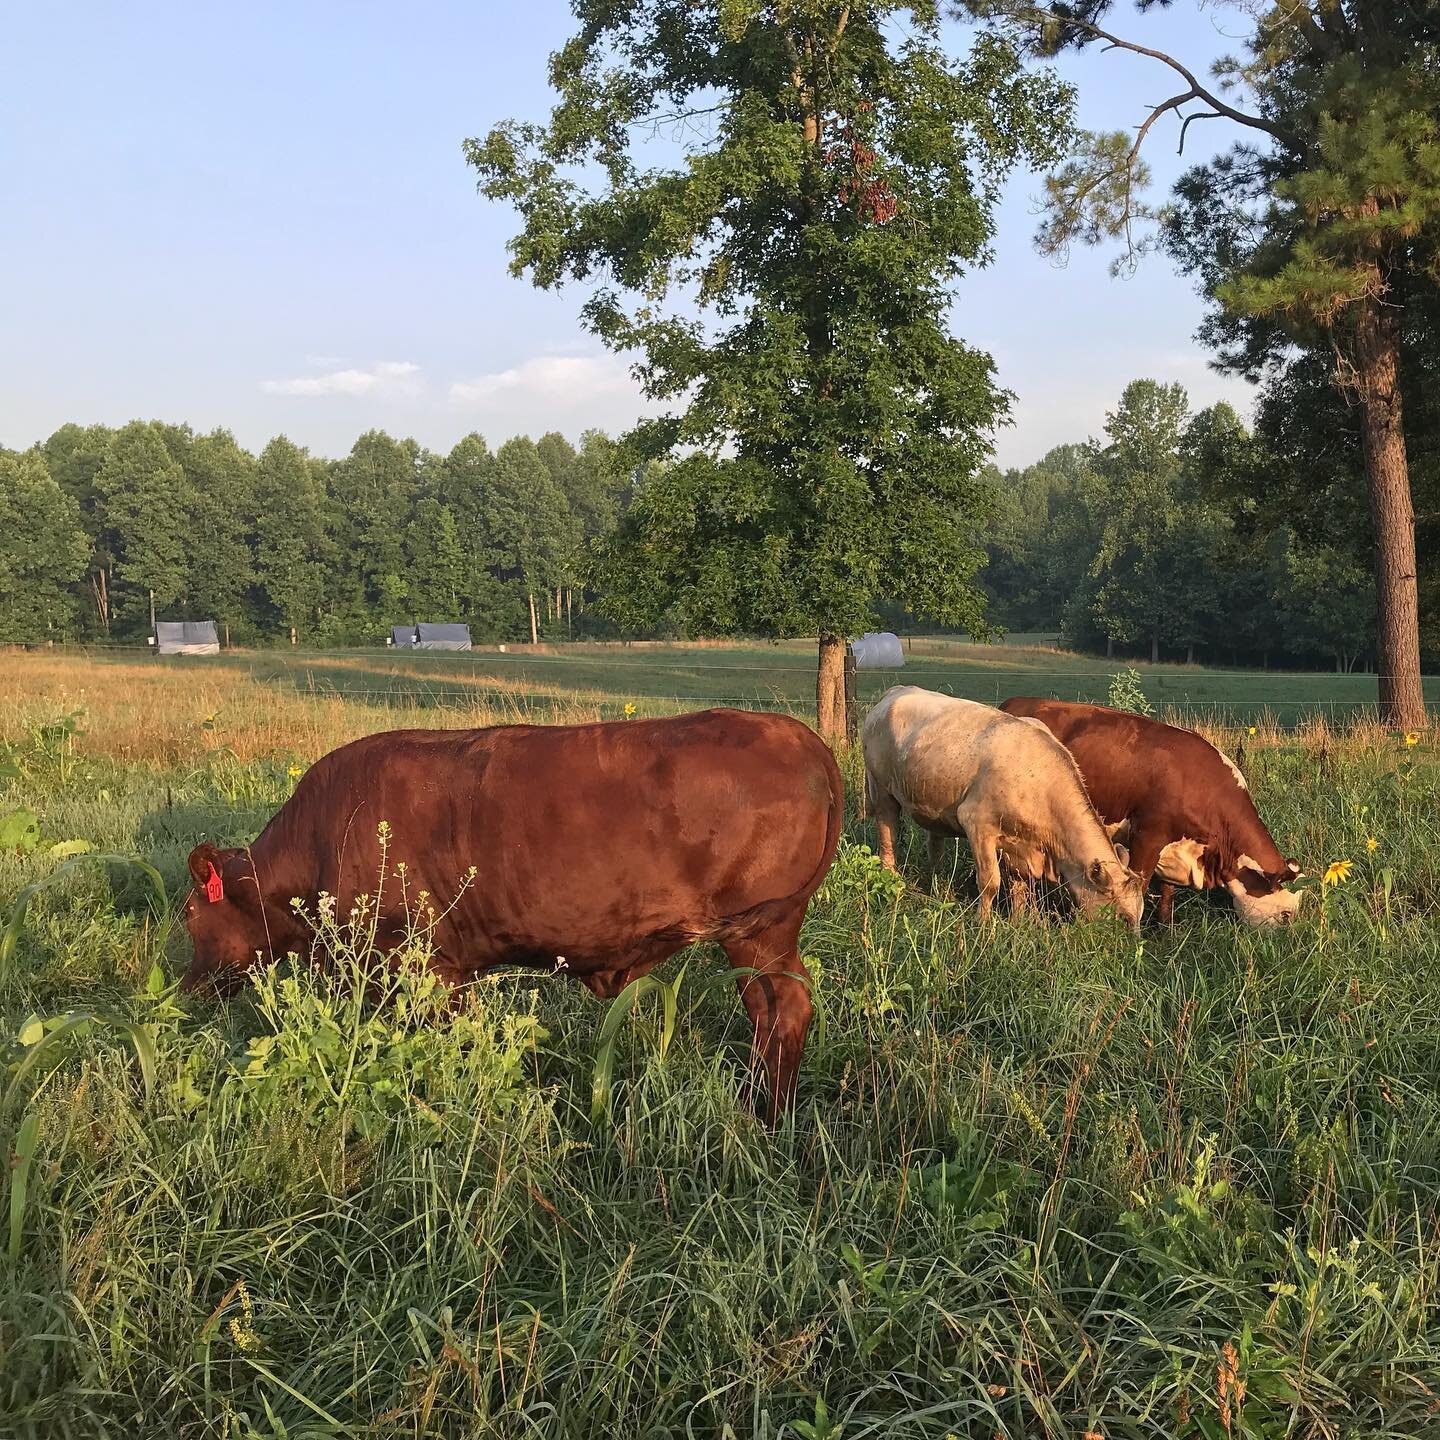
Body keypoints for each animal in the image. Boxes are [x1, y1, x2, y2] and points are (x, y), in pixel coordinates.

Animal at [180, 709, 843, 1119]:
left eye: (189, 917)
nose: (186, 990)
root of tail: (800, 737)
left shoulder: (424, 964)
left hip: (762, 934)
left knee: (783, 1008)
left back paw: (769, 1114)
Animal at [861, 687, 1144, 930]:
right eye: (1124, 918)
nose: (1130, 950)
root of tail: (897, 690)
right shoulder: (977, 823)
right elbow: (990, 882)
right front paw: (983, 923)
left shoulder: (1019, 843)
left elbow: (1020, 886)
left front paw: (1018, 920)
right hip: (881, 790)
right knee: (888, 833)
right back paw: (891, 876)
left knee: (935, 844)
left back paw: (939, 885)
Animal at [998, 698, 1302, 927]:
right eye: (1286, 916)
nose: (1288, 944)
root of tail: (1014, 703)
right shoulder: (1147, 836)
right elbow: (1141, 886)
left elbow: (1168, 892)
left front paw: (1166, 930)